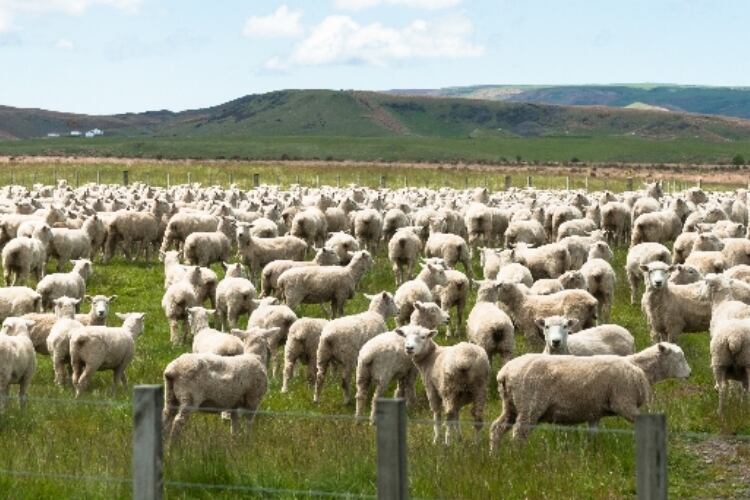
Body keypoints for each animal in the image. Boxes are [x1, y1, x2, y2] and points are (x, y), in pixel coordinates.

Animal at [489, 343, 691, 449]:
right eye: (679, 358)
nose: (690, 374)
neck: (639, 368)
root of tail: (504, 373)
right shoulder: (624, 403)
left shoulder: (595, 412)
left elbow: (593, 434)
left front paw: (593, 452)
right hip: (529, 405)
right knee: (518, 433)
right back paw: (519, 457)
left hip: (511, 404)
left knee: (497, 427)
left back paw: (494, 455)